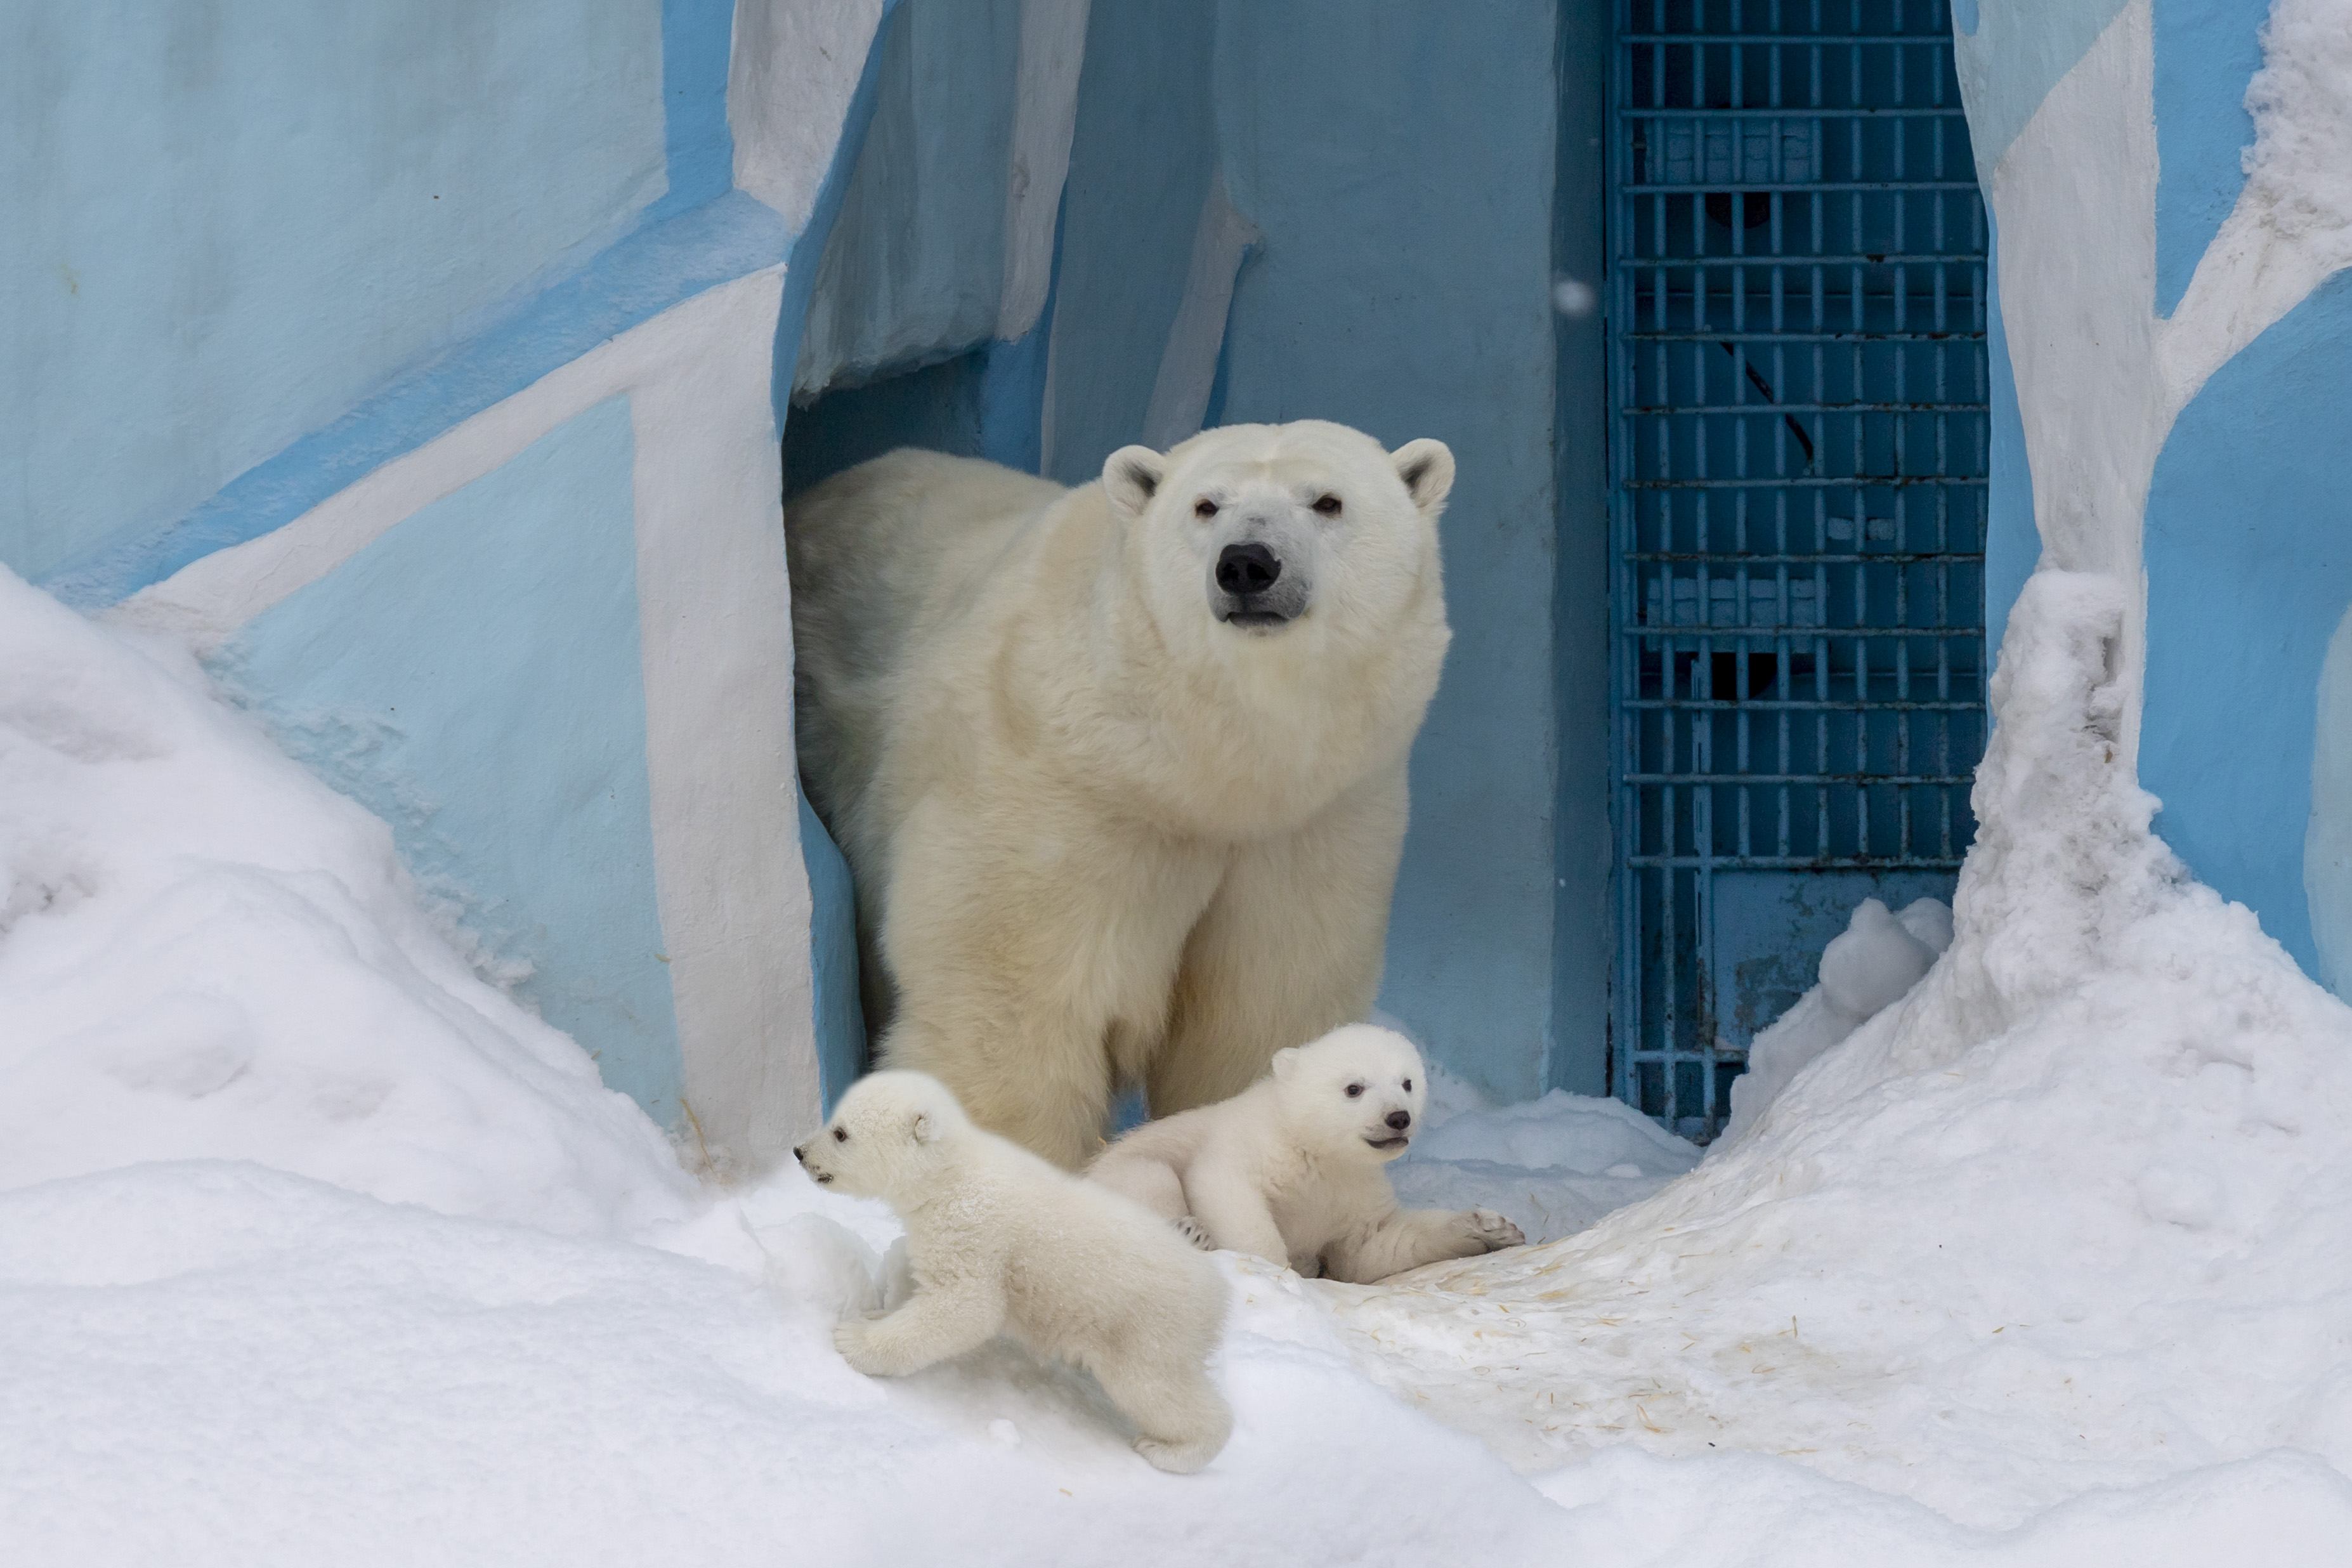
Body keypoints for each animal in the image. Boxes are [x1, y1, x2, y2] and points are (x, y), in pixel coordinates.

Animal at [790, 415, 1449, 1166]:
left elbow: (1259, 1011)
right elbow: (1013, 1000)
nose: (1247, 564)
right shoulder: (1061, 794)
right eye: (1206, 505)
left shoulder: (1314, 824)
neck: (1195, 775)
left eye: (1328, 501)